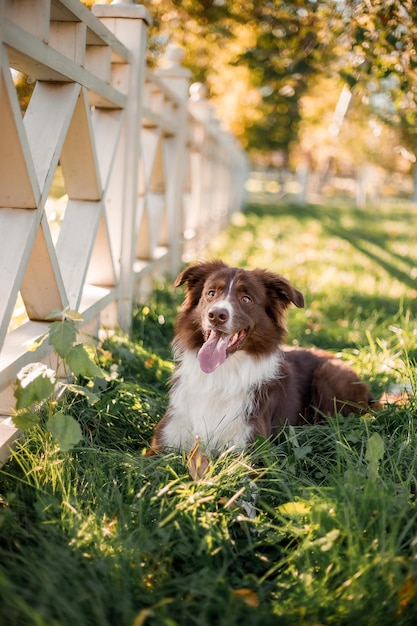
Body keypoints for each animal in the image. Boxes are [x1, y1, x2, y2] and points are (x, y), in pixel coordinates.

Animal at [149, 260, 370, 454]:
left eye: (246, 299)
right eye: (211, 293)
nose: (216, 315)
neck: (221, 373)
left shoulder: (252, 453)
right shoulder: (162, 442)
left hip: (329, 373)